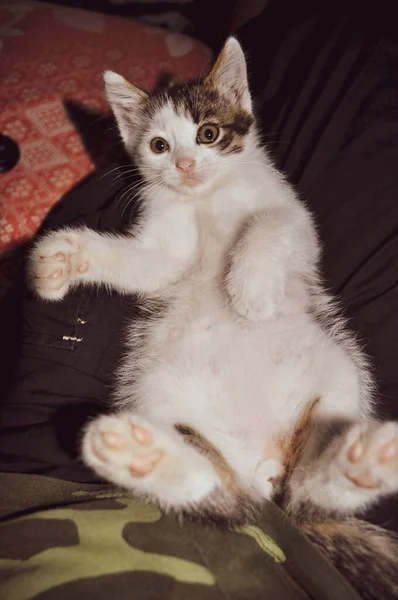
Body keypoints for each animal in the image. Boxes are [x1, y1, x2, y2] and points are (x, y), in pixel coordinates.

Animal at [29, 37, 398, 596]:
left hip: (341, 376)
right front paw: (61, 261)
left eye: (208, 134)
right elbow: (144, 265)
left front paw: (251, 287)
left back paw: (360, 464)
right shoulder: (164, 253)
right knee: (227, 499)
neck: (206, 201)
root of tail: (259, 466)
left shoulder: (295, 218)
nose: (184, 164)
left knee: (307, 497)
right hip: (154, 395)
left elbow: (271, 225)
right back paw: (140, 457)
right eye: (159, 145)